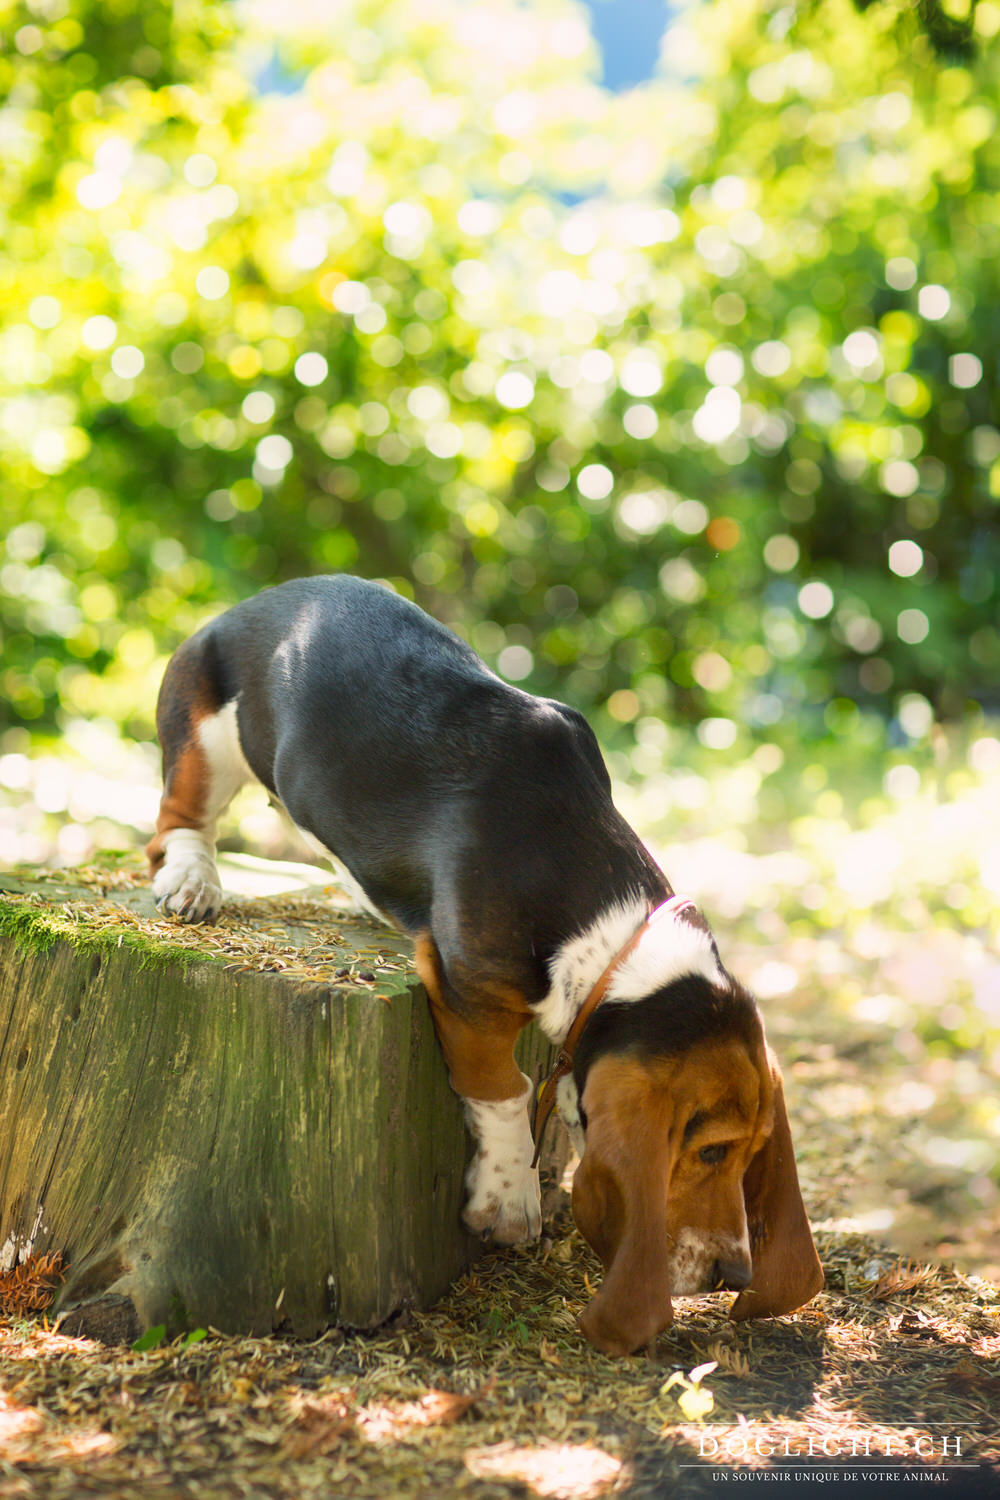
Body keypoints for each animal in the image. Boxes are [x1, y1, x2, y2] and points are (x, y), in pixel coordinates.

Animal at [146, 573, 821, 1362]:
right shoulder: (465, 988)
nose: (731, 1274)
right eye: (711, 1151)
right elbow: (503, 1087)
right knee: (176, 825)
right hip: (205, 740)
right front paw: (509, 1198)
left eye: (754, 1154)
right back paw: (193, 880)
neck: (612, 938)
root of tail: (251, 604)